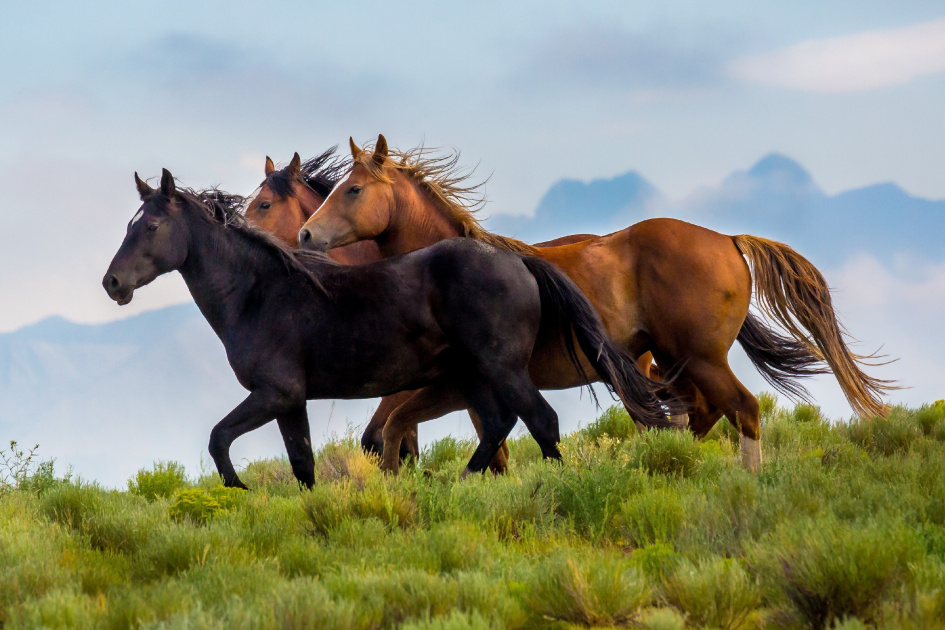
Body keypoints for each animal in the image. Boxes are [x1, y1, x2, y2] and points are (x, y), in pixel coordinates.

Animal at [101, 170, 672, 492]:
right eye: (129, 226)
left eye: (150, 226)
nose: (112, 283)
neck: (259, 292)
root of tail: (519, 261)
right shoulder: (290, 401)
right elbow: (303, 466)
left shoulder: (273, 393)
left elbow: (220, 439)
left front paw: (237, 490)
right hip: (475, 377)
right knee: (498, 427)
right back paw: (460, 486)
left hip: (502, 369)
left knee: (541, 422)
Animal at [296, 136, 892, 472]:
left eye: (353, 189)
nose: (305, 235)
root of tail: (728, 240)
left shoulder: (461, 383)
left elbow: (412, 433)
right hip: (674, 363)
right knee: (696, 416)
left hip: (701, 359)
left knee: (740, 409)